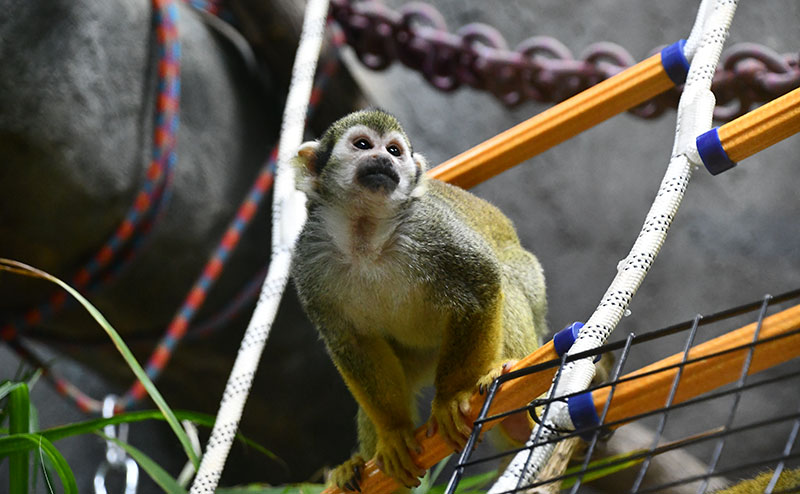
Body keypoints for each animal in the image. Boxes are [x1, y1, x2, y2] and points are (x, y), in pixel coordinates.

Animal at [290, 109, 547, 491]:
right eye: (363, 144)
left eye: (394, 150)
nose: (384, 160)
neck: (367, 234)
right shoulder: (309, 259)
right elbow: (351, 341)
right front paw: (394, 433)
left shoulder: (429, 228)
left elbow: (481, 279)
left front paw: (452, 397)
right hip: (418, 355)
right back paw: (360, 465)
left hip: (530, 285)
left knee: (507, 278)